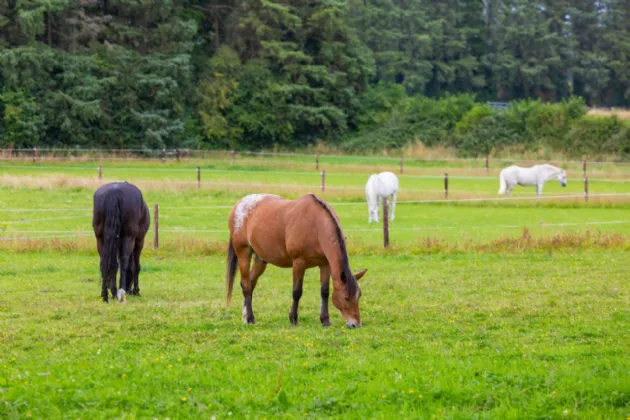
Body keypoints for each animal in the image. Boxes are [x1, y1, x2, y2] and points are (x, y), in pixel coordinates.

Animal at [227, 194, 368, 328]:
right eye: (346, 298)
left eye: (359, 296)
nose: (355, 324)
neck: (316, 225)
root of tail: (238, 205)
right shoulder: (299, 263)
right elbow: (297, 292)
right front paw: (293, 320)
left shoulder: (325, 264)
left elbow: (324, 291)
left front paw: (325, 320)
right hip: (243, 253)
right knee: (246, 285)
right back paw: (250, 319)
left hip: (260, 260)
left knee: (251, 283)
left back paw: (245, 317)